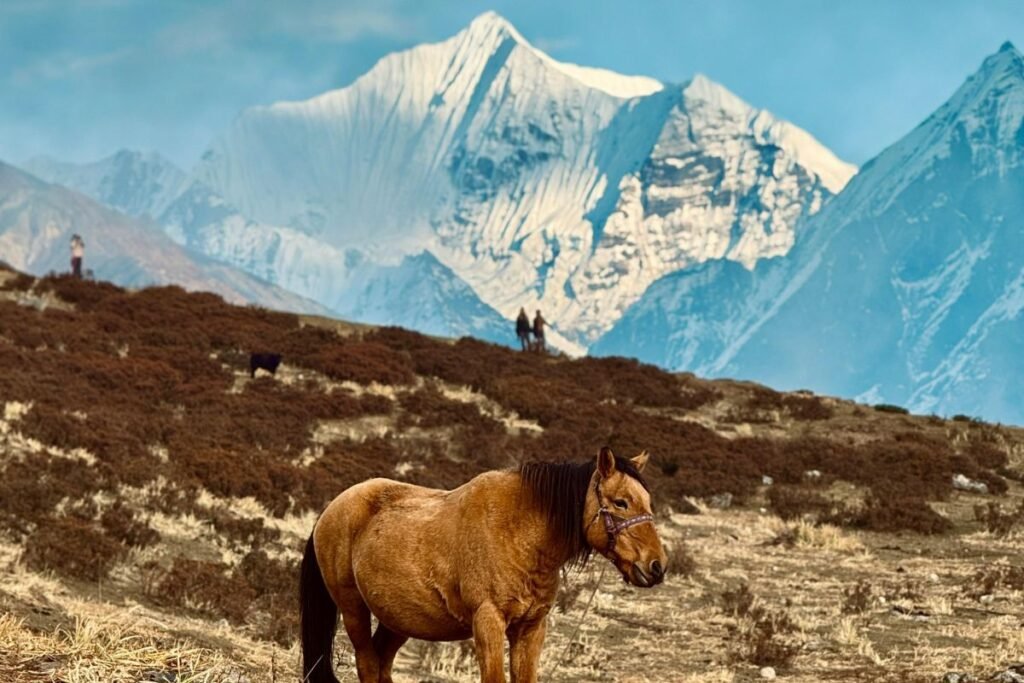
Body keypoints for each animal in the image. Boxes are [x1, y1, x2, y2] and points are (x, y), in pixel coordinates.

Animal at [299, 447, 667, 683]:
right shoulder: (488, 622)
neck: (520, 532)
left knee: (380, 666)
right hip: (353, 611)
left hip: (397, 620)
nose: (656, 566)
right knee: (367, 662)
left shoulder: (531, 628)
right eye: (621, 502)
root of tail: (331, 509)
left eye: (647, 501)